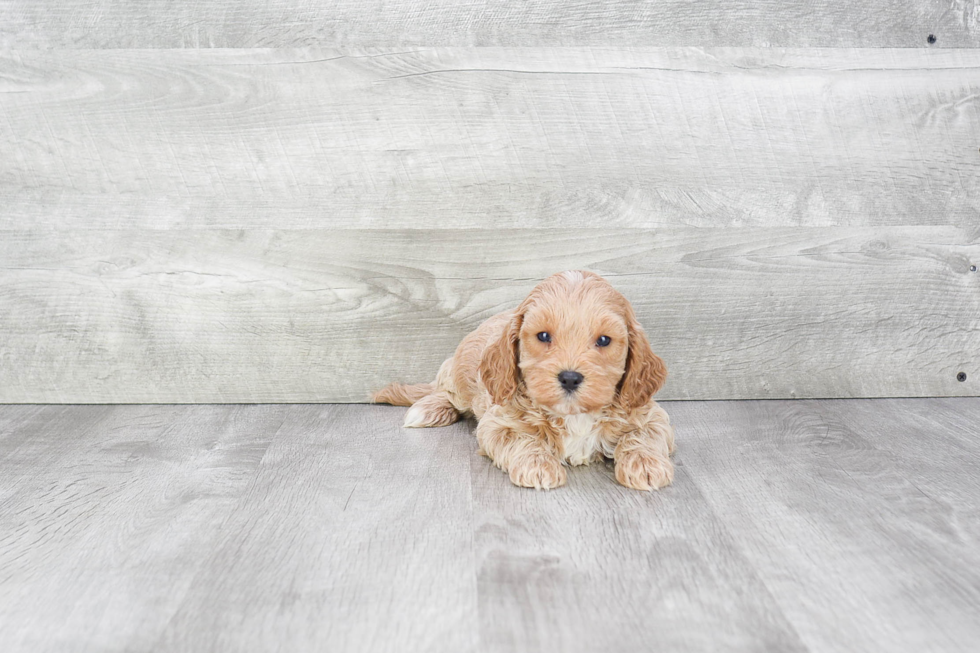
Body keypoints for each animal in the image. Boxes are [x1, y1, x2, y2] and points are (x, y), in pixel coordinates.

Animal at [374, 270, 672, 488]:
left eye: (604, 340)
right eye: (543, 336)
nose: (570, 378)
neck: (574, 416)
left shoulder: (651, 414)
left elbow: (644, 435)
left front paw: (646, 465)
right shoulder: (497, 422)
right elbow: (522, 439)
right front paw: (538, 465)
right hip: (458, 373)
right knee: (445, 391)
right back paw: (428, 409)